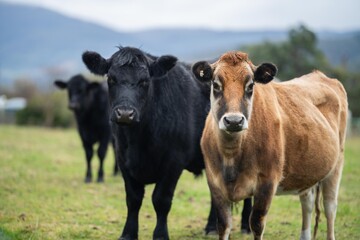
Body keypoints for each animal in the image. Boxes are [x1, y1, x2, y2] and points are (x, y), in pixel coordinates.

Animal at [193, 51, 348, 240]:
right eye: (216, 85)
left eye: (250, 86)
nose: (234, 121)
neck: (232, 154)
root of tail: (320, 75)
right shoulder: (215, 183)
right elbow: (223, 225)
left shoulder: (267, 183)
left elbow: (256, 224)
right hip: (307, 171)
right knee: (307, 203)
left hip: (336, 165)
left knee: (330, 207)